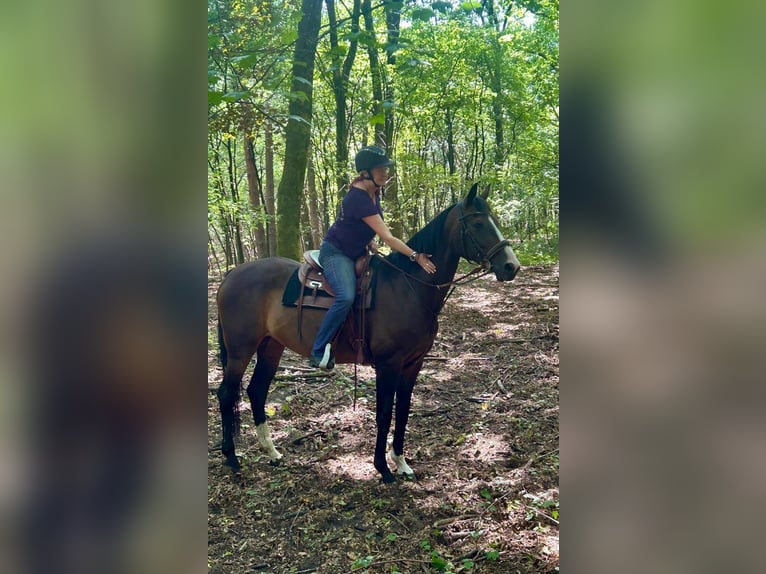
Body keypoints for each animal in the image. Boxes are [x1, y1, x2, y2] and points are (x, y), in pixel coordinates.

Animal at [215, 183, 521, 483]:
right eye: (479, 224)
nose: (511, 266)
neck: (408, 286)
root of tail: (231, 274)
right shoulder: (388, 364)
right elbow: (384, 413)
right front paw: (383, 468)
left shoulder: (414, 363)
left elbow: (403, 410)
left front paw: (402, 462)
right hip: (240, 350)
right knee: (227, 393)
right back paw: (231, 457)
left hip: (271, 346)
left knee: (256, 391)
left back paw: (272, 453)